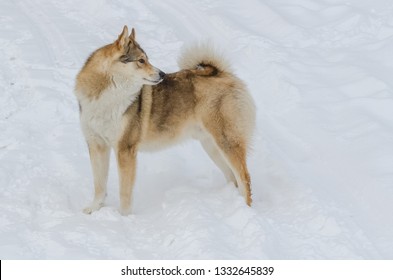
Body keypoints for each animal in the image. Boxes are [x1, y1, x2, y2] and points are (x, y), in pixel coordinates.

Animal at [74, 26, 256, 214]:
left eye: (147, 59)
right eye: (141, 60)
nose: (162, 74)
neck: (107, 96)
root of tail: (223, 74)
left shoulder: (125, 150)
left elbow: (124, 192)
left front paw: (124, 217)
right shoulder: (97, 145)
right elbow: (99, 185)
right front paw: (94, 208)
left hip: (227, 142)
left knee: (244, 178)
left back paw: (246, 208)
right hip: (212, 147)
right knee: (232, 178)